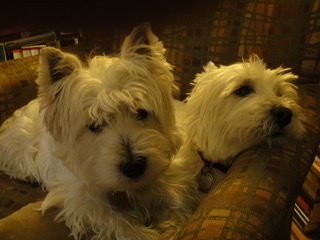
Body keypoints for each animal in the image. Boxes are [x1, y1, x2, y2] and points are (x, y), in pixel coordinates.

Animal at [0, 22, 199, 240]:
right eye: (93, 125)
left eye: (141, 112)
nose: (134, 167)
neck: (129, 190)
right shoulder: (80, 201)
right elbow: (117, 223)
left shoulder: (172, 179)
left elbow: (175, 202)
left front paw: (170, 226)